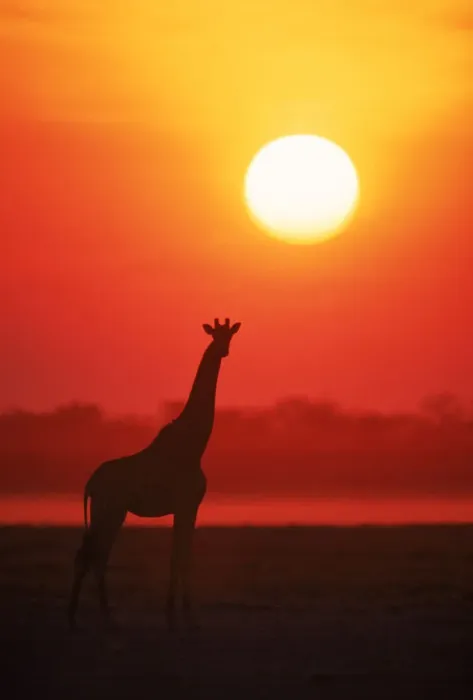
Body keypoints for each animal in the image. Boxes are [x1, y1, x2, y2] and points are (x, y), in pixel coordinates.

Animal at [67, 318, 241, 631]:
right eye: (215, 335)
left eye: (230, 336)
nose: (223, 351)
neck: (195, 445)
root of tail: (90, 483)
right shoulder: (187, 504)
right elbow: (182, 557)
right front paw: (184, 611)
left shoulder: (186, 508)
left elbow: (179, 555)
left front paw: (174, 608)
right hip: (110, 510)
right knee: (96, 555)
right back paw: (102, 615)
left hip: (107, 511)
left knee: (91, 554)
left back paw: (81, 614)